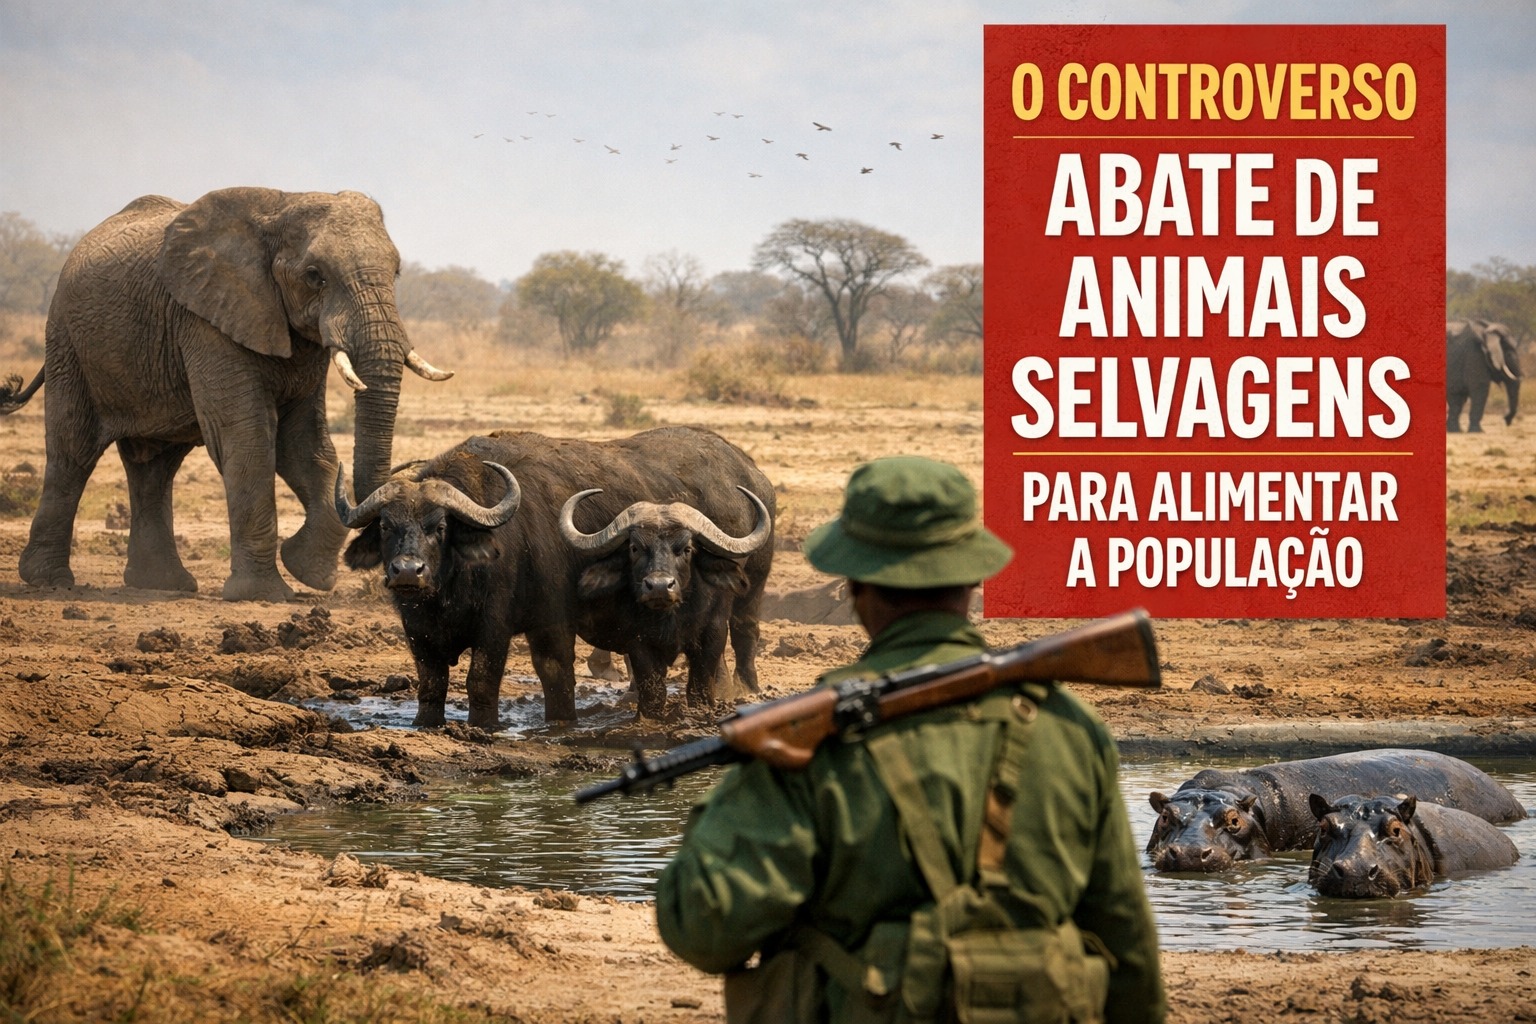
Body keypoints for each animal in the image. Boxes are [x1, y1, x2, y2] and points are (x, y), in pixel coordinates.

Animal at [0, 187, 451, 601]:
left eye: (396, 273)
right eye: (314, 275)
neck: (283, 204)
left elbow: (306, 446)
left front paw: (308, 573)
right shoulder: (207, 321)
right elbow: (249, 439)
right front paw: (262, 594)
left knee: (154, 466)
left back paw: (163, 585)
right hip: (68, 343)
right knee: (73, 452)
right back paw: (51, 582)